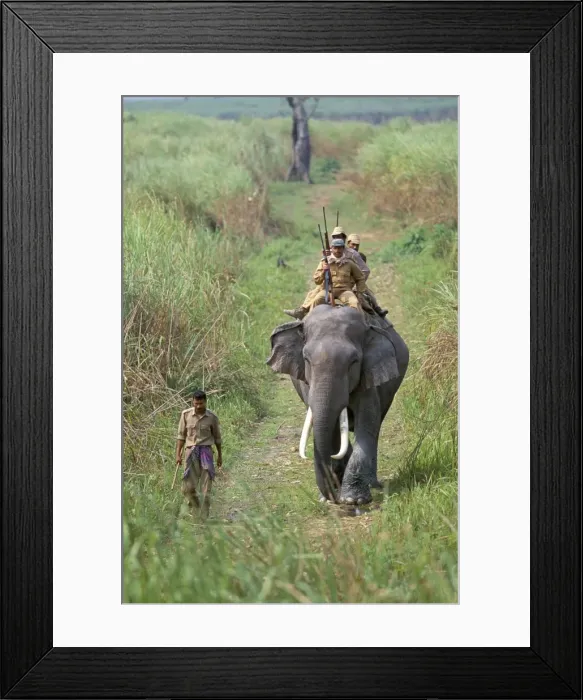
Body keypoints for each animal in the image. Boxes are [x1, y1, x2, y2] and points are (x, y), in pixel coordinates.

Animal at [266, 304, 409, 505]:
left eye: (353, 362)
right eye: (306, 359)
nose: (332, 497)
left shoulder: (368, 377)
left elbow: (367, 425)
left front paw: (353, 499)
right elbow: (331, 430)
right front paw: (331, 495)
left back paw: (372, 484)